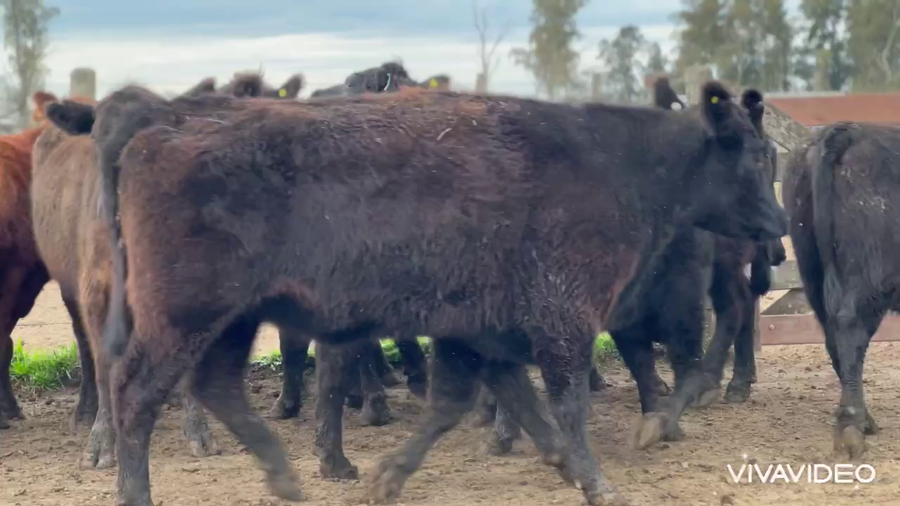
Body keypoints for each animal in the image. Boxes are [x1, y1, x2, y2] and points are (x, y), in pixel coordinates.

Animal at [48, 80, 786, 506]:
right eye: (754, 154)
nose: (779, 228)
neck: (618, 161)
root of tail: (156, 128)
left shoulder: (487, 334)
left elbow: (470, 404)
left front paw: (389, 476)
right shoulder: (563, 321)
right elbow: (564, 404)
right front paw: (599, 482)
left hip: (231, 318)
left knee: (215, 385)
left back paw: (287, 479)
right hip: (185, 314)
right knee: (137, 393)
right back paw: (138, 493)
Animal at [783, 121, 892, 458]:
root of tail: (849, 131)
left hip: (811, 268)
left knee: (834, 339)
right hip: (870, 280)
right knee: (850, 330)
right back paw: (852, 426)